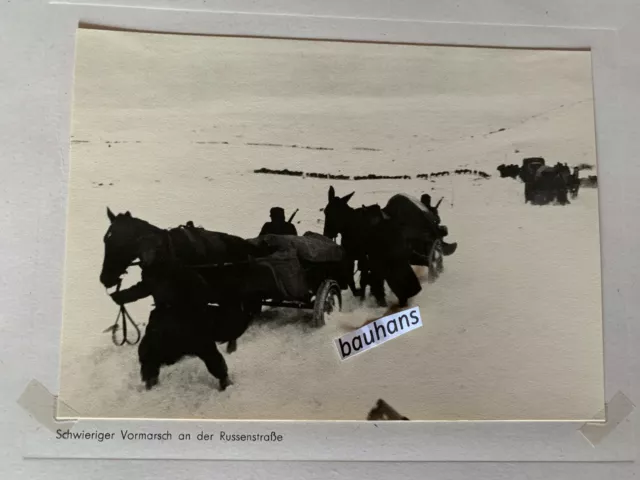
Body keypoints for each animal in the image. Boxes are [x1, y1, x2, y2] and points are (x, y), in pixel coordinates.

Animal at [99, 208, 262, 392]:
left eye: (120, 241)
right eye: (106, 239)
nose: (105, 279)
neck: (168, 250)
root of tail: (244, 245)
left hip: (231, 292)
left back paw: (230, 347)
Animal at [322, 188, 452, 308]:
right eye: (326, 211)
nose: (326, 234)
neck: (353, 226)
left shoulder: (366, 260)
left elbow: (366, 281)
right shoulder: (361, 259)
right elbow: (363, 281)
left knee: (430, 261)